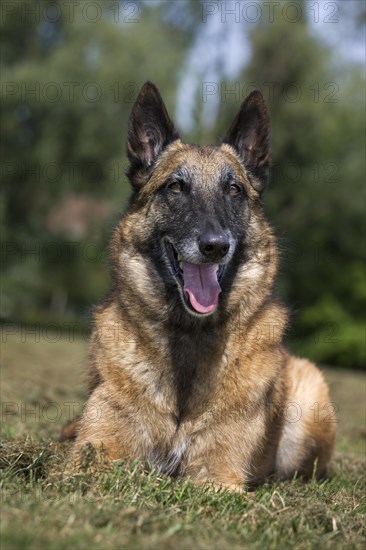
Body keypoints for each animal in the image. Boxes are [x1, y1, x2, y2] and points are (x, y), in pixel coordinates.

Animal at [70, 83, 336, 492]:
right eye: (176, 187)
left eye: (233, 189)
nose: (215, 246)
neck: (187, 338)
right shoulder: (87, 460)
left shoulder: (216, 476)